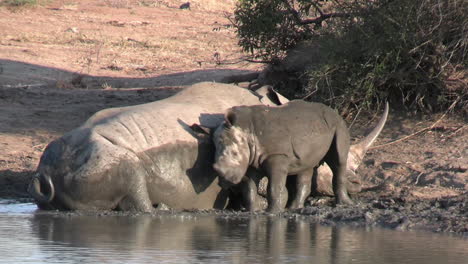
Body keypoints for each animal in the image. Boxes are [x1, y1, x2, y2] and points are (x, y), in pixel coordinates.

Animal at [203, 100, 390, 213]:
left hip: (339, 126)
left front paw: (273, 212)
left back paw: (343, 204)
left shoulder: (278, 156)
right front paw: (254, 211)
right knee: (306, 168)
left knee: (338, 161)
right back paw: (295, 208)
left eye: (235, 153)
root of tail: (335, 111)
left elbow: (274, 187)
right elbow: (249, 188)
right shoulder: (251, 162)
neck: (246, 130)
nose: (221, 177)